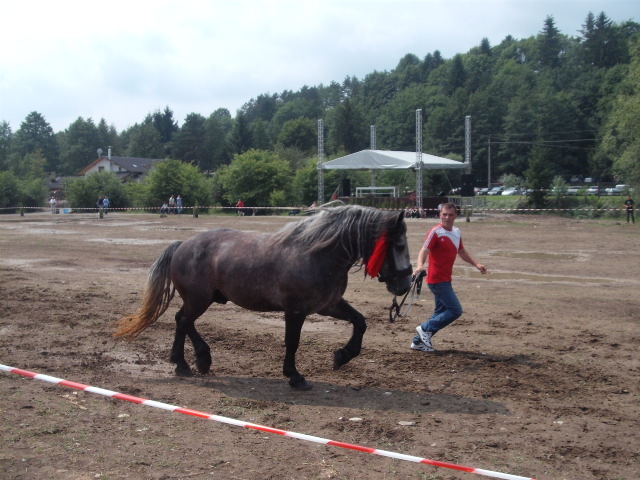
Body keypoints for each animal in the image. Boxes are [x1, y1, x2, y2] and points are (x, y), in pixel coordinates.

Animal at [115, 205, 412, 390]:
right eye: (398, 245)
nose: (406, 284)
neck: (318, 255)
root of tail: (183, 245)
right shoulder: (295, 310)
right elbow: (292, 342)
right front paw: (295, 376)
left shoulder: (327, 305)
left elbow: (360, 322)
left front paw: (343, 356)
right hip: (199, 300)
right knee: (183, 321)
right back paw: (186, 363)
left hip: (203, 299)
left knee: (183, 321)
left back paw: (196, 361)